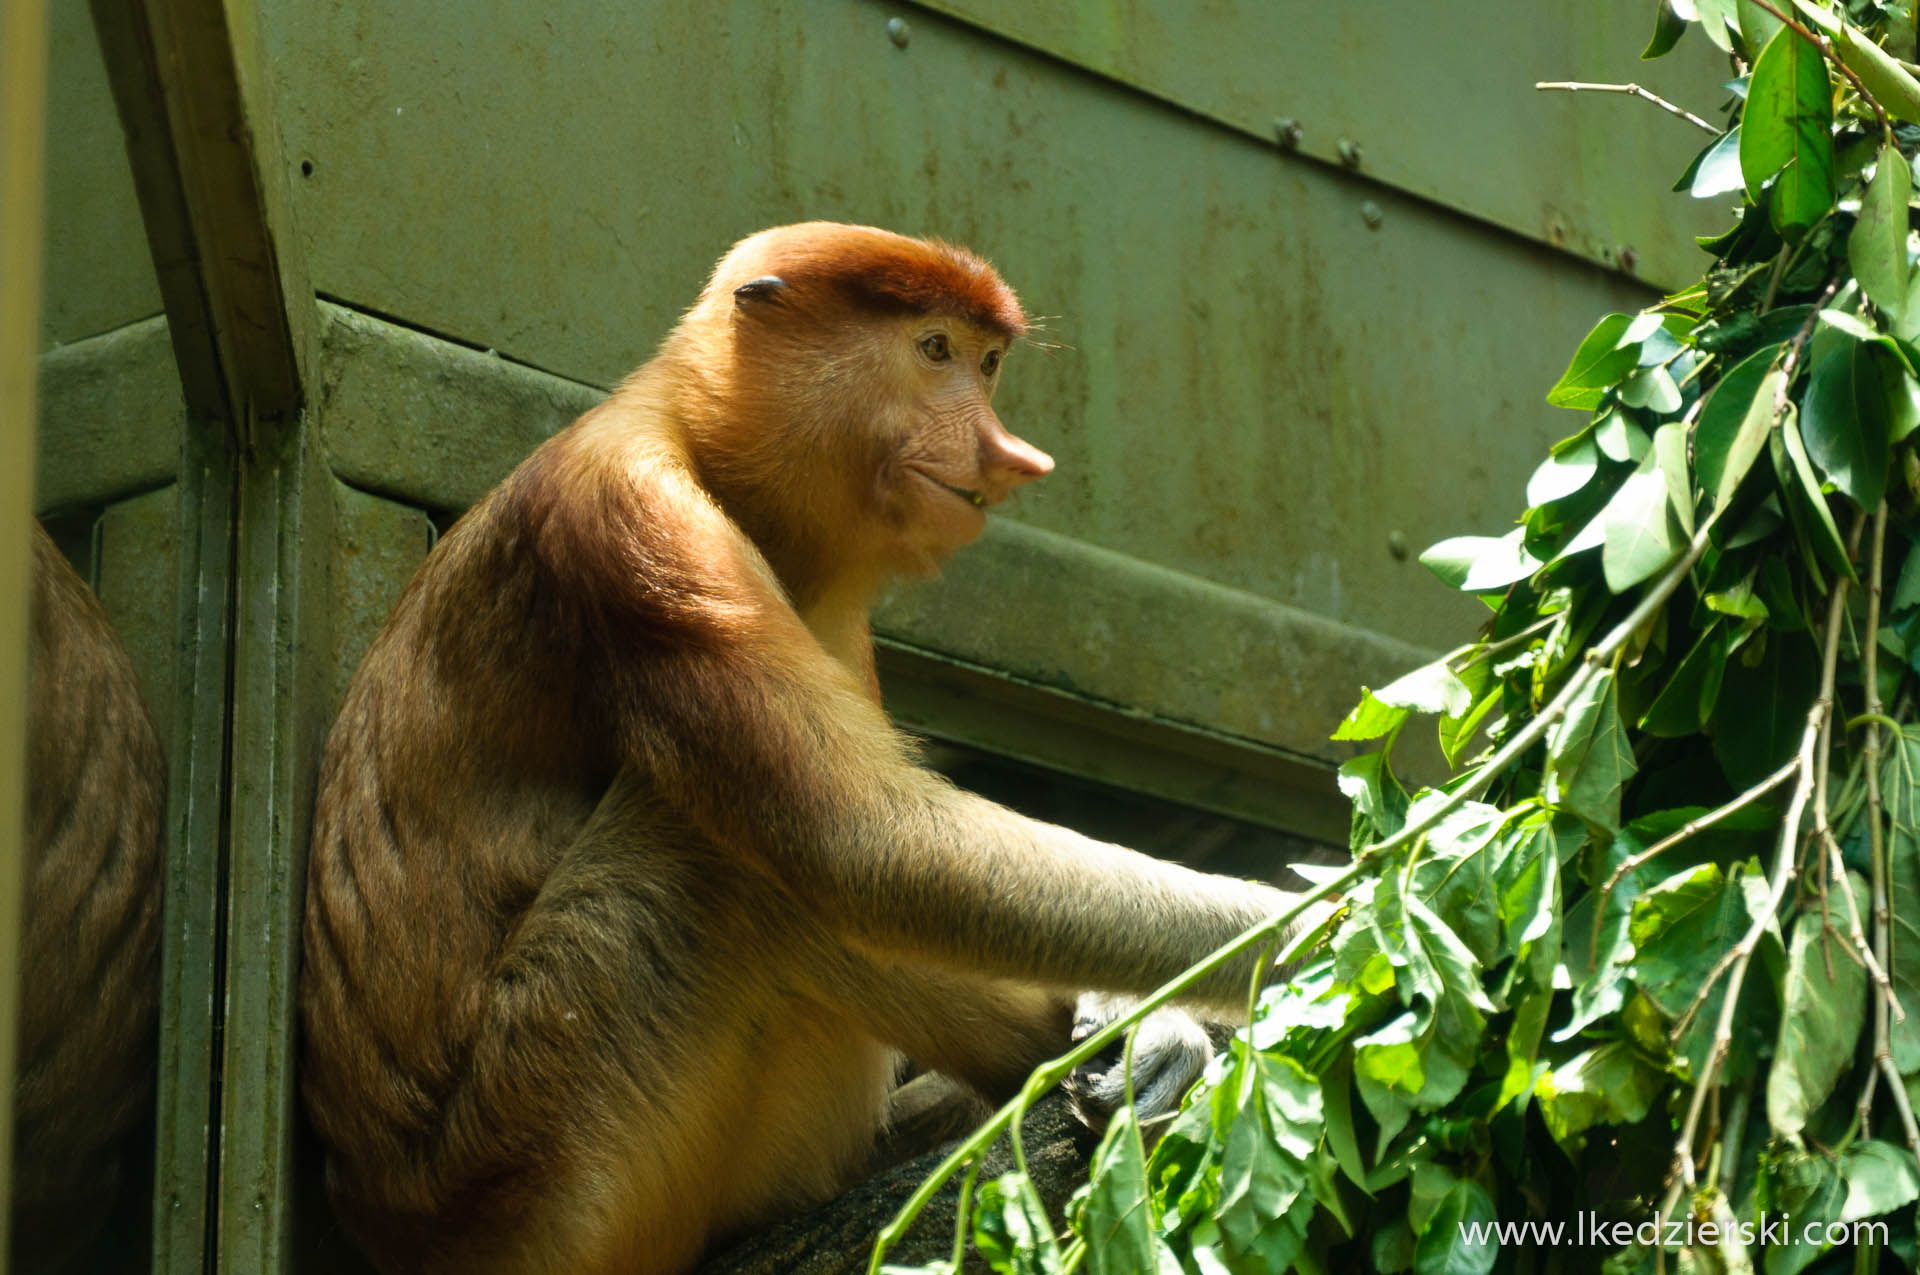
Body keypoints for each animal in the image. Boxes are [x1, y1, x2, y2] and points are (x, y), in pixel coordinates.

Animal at [299, 223, 1320, 1275]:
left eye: (989, 363)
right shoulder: (636, 526)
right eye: (935, 350)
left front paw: (1149, 1023)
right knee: (724, 865)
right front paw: (1314, 913)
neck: (711, 454)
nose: (1010, 454)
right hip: (538, 1154)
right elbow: (863, 841)